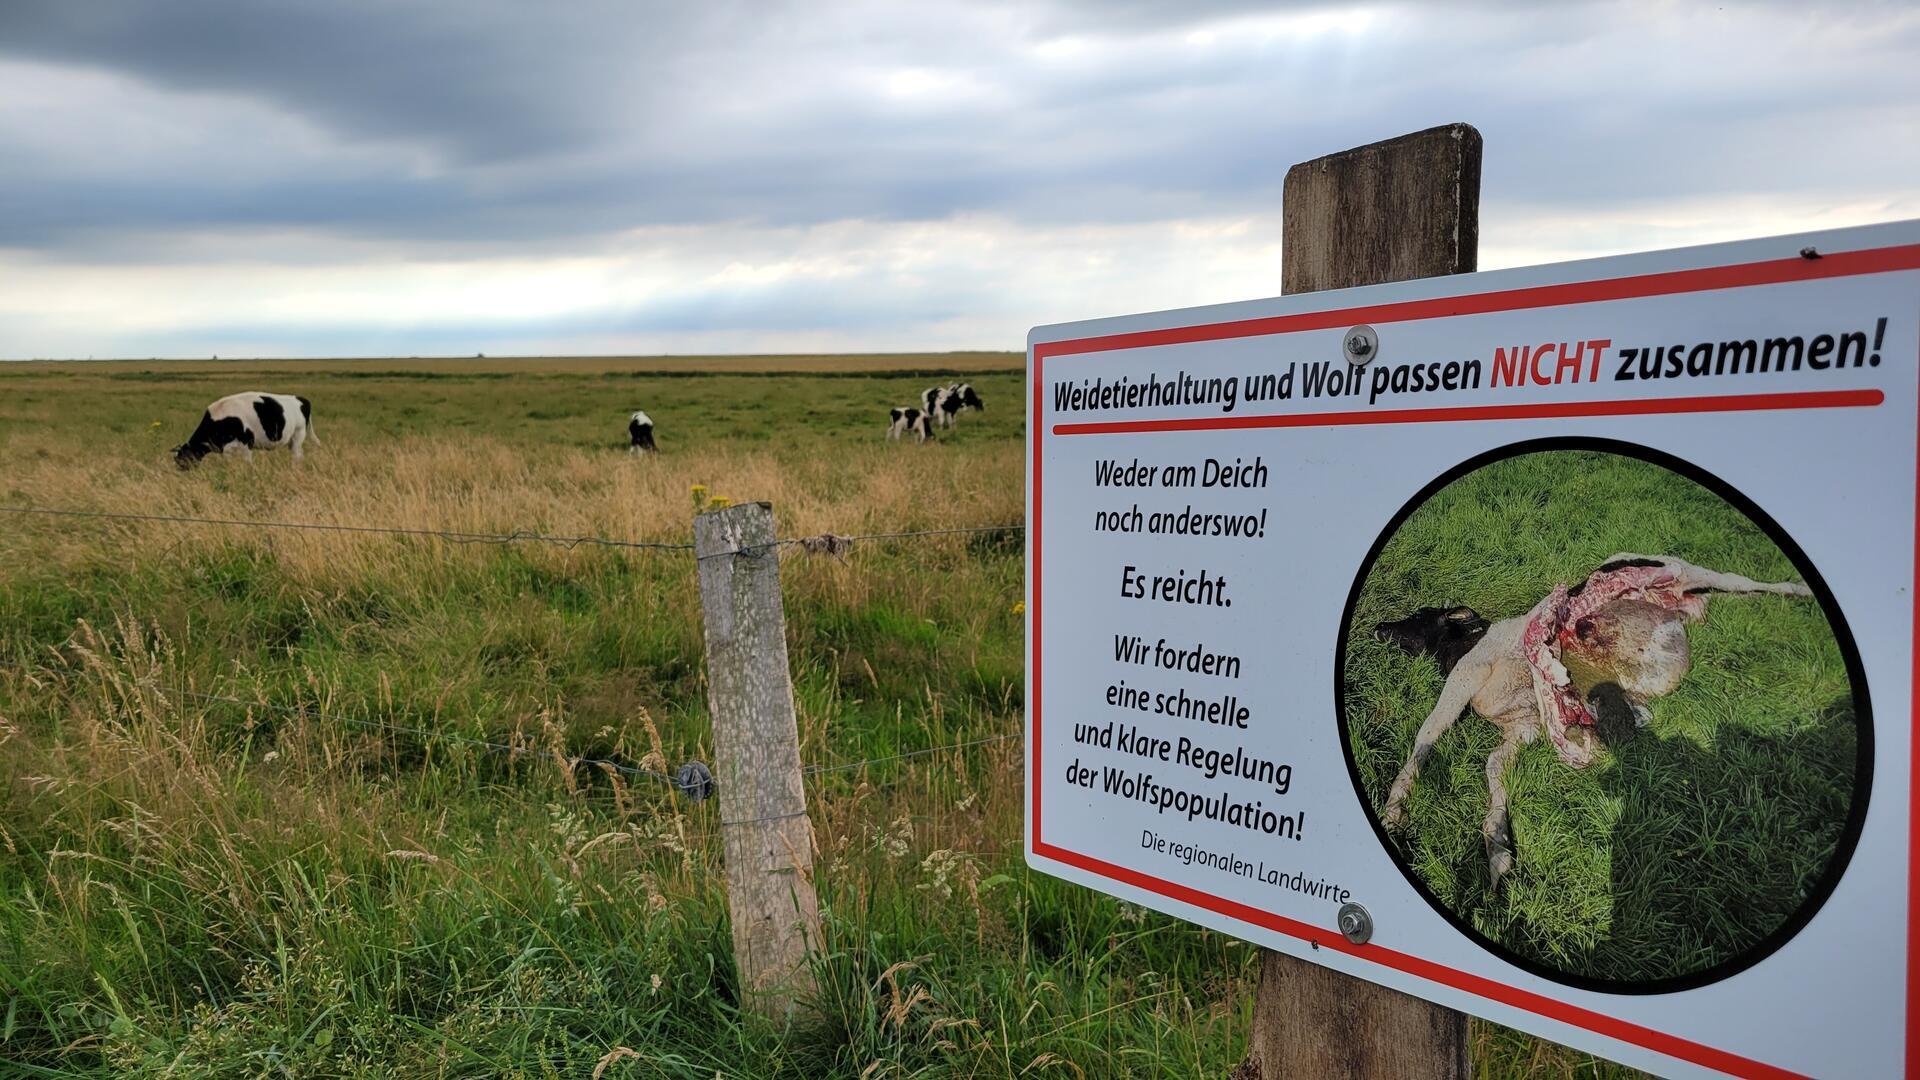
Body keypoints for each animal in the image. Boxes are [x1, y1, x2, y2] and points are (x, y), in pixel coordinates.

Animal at [172, 390, 314, 466]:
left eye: (183, 460)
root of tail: (301, 398)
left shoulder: (247, 442)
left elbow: (248, 463)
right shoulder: (227, 449)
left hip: (298, 435)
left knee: (297, 456)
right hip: (292, 440)